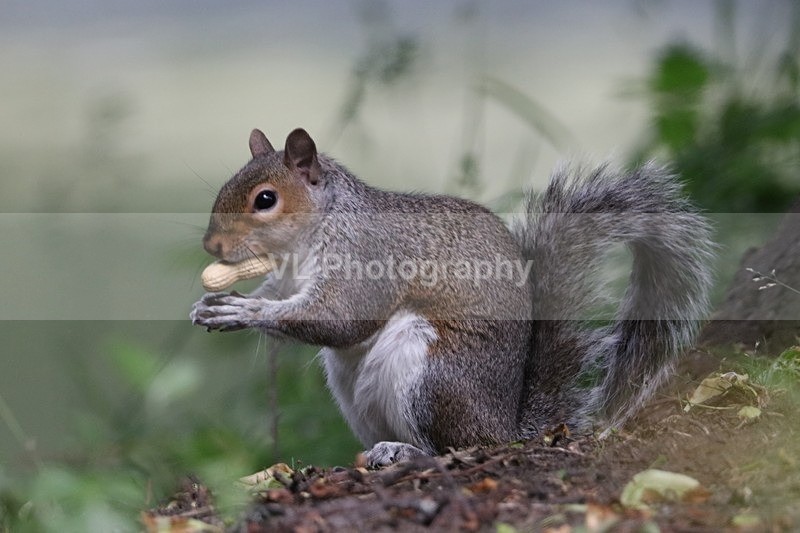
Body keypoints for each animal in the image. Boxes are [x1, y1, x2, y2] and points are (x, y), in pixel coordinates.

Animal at [190, 127, 713, 466]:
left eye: (265, 199)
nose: (212, 247)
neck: (312, 234)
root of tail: (508, 426)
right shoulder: (287, 279)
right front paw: (212, 305)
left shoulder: (366, 257)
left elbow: (342, 318)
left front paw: (244, 309)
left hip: (432, 373)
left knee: (461, 447)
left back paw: (408, 451)